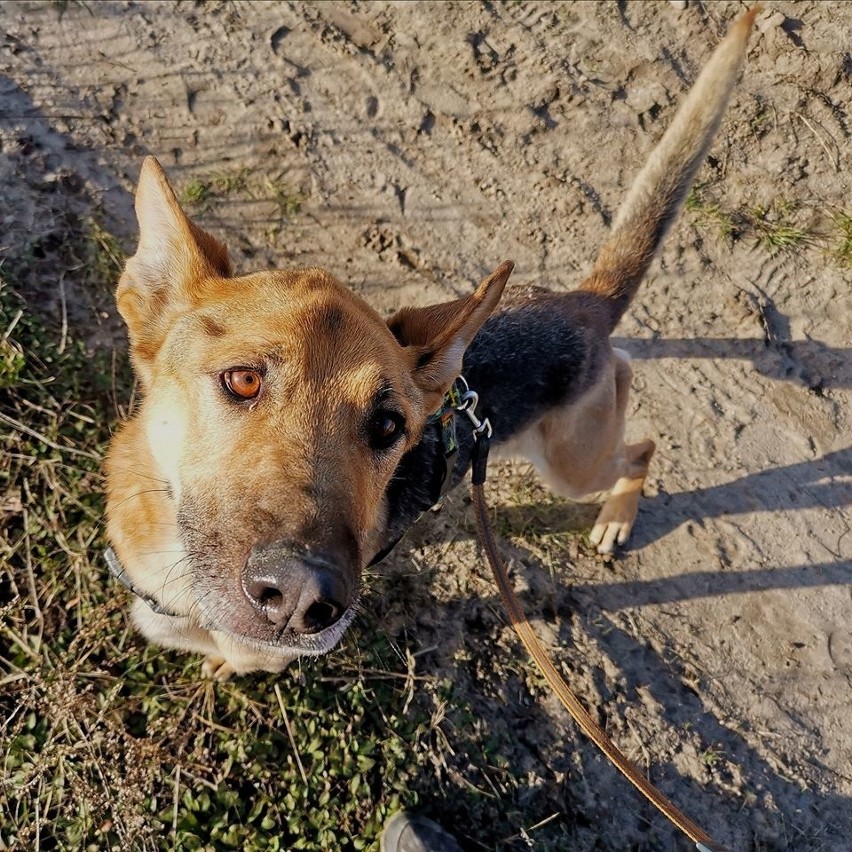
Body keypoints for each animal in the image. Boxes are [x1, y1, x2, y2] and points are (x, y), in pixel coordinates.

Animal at [105, 10, 752, 680]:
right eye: (243, 379)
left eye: (389, 427)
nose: (307, 599)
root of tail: (583, 304)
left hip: (572, 465)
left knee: (641, 444)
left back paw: (615, 519)